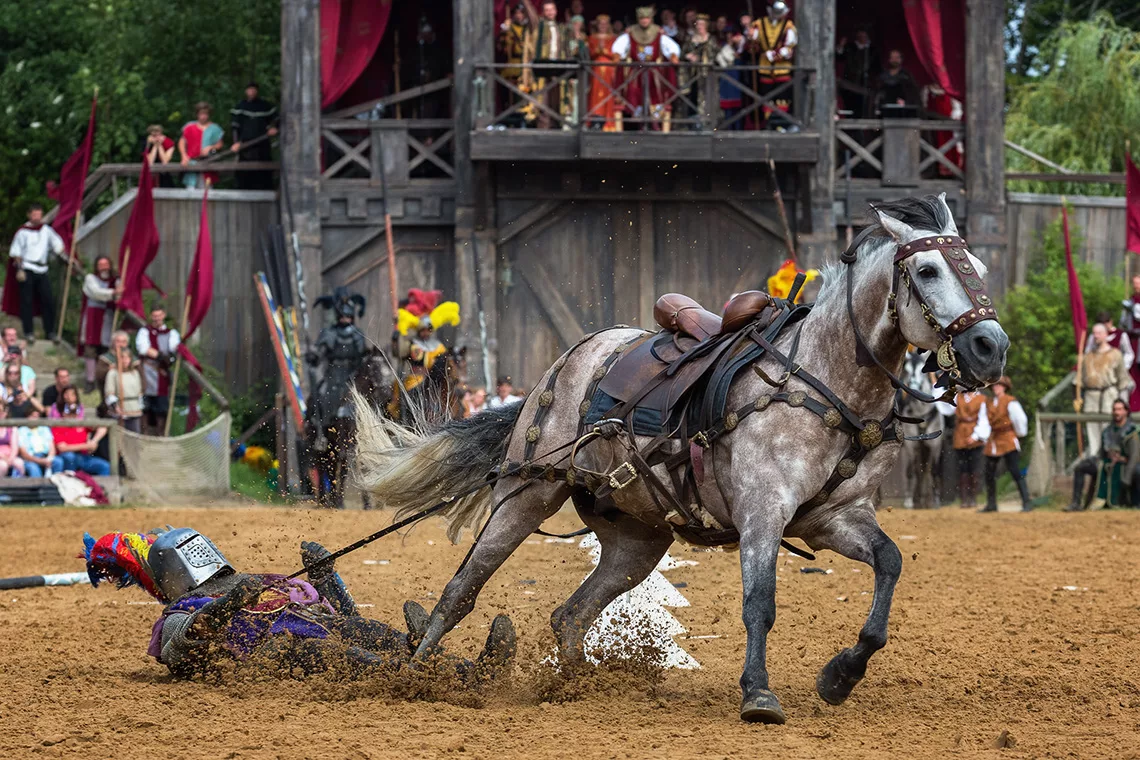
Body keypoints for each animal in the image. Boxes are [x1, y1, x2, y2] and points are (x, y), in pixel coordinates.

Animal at [898, 353, 943, 510]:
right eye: (906, 370)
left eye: (921, 371)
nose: (913, 389)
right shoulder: (911, 446)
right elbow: (910, 471)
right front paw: (908, 501)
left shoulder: (935, 445)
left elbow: (933, 471)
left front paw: (936, 501)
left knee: (924, 471)